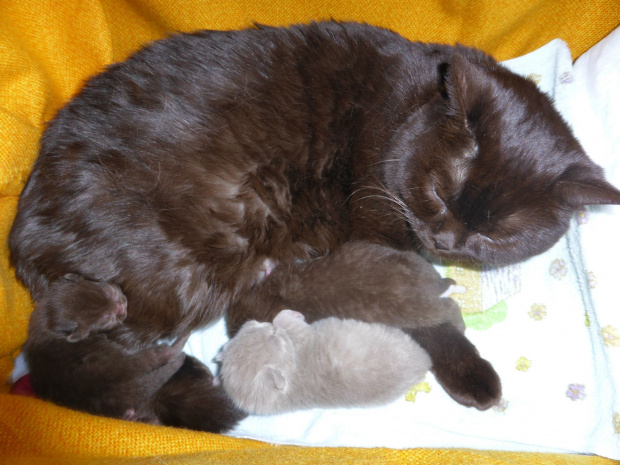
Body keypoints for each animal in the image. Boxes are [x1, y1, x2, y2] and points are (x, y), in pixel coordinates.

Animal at [24, 274, 188, 422]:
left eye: (109, 292)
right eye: (106, 318)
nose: (122, 306)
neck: (49, 321)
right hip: (124, 360)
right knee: (160, 355)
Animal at [219, 308, 432, 414]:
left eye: (253, 326)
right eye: (272, 336)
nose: (264, 323)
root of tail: (424, 361)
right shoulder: (302, 335)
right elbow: (283, 319)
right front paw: (290, 315)